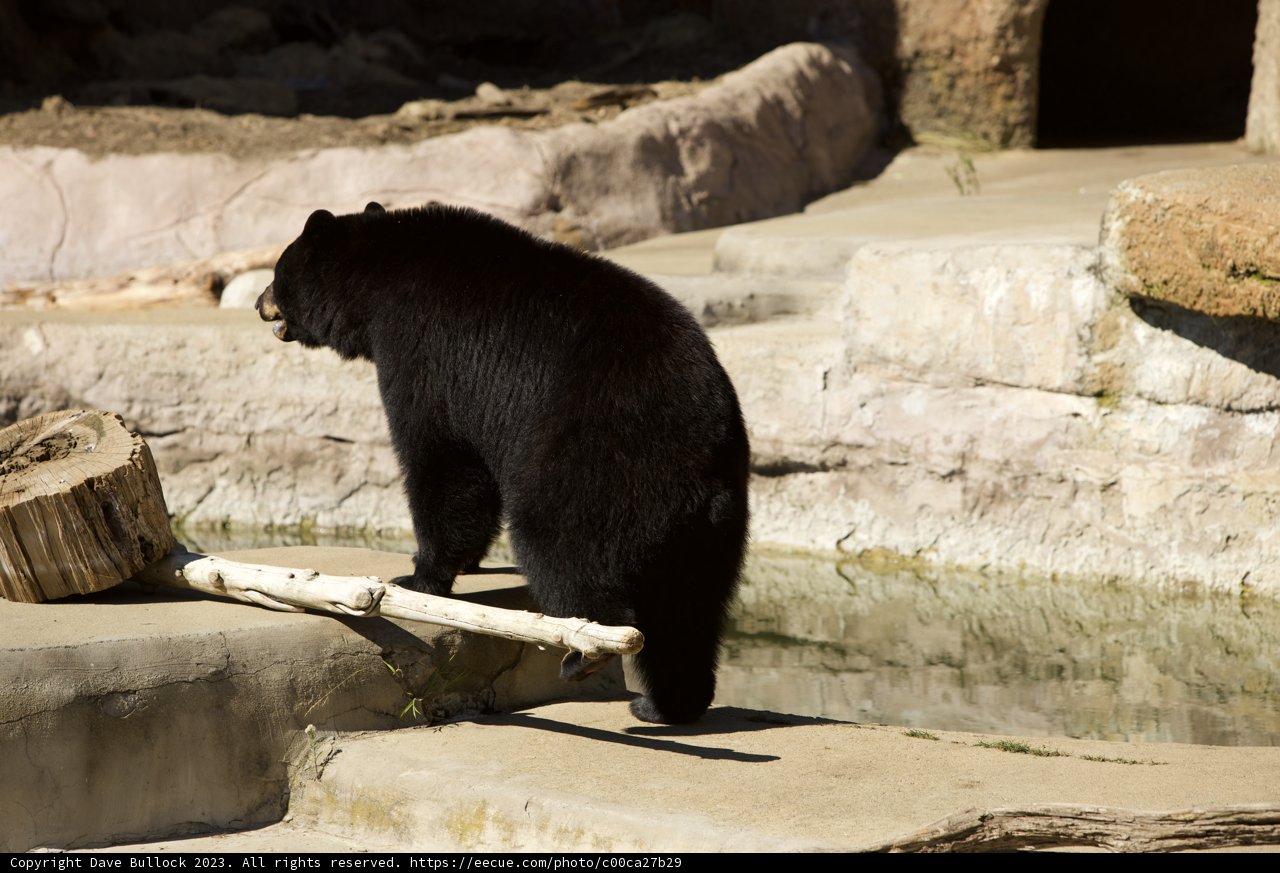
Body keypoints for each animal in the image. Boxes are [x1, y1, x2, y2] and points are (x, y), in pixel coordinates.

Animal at [256, 201, 750, 724]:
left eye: (277, 274)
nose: (260, 303)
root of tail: (698, 456)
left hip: (589, 466)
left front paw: (419, 577)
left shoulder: (424, 351)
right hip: (710, 524)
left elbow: (441, 457)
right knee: (688, 610)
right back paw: (663, 705)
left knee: (561, 545)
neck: (378, 283)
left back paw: (587, 651)